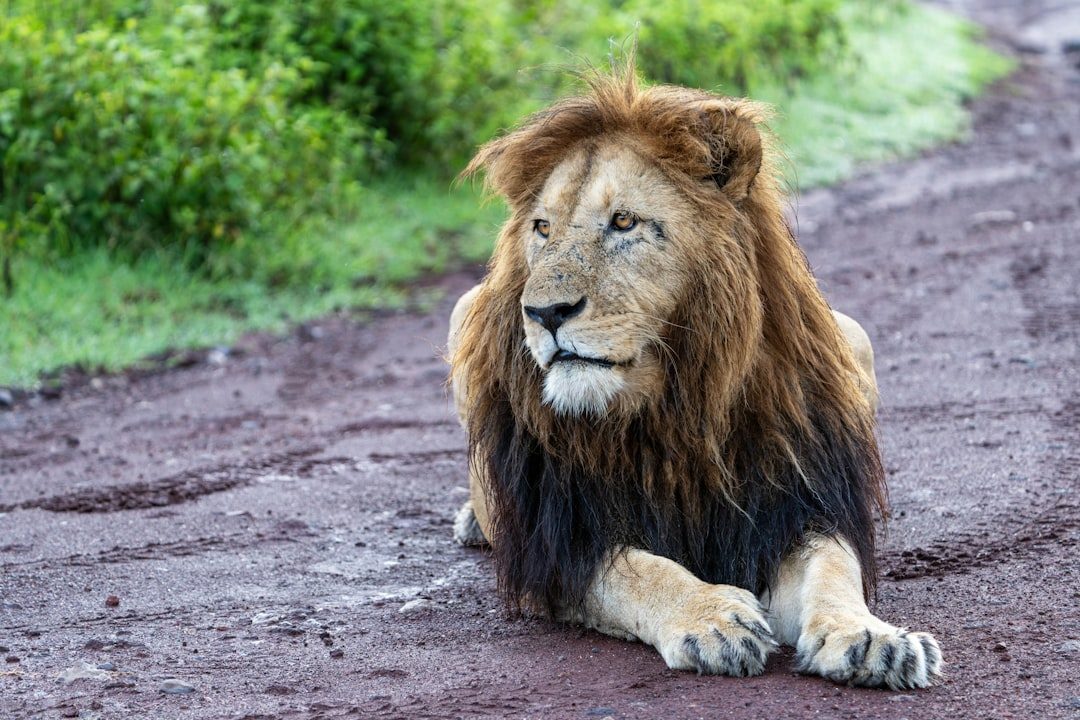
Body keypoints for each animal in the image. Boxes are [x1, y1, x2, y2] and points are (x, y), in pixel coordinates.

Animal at [446, 62, 941, 689]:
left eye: (623, 221)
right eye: (542, 228)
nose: (543, 313)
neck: (673, 404)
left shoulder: (794, 503)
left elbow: (834, 567)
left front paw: (871, 638)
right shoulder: (557, 544)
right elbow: (640, 571)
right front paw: (713, 619)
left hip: (855, 336)